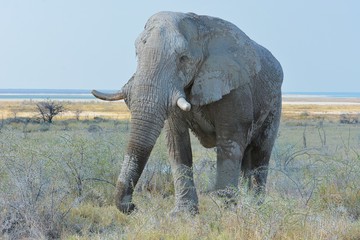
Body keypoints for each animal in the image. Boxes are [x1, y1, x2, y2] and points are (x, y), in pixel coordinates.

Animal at [93, 11, 284, 215]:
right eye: (137, 54)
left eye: (183, 59)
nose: (133, 207)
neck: (199, 25)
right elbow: (177, 143)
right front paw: (183, 215)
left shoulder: (234, 87)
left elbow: (230, 142)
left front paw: (225, 213)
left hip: (275, 103)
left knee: (260, 153)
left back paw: (255, 209)